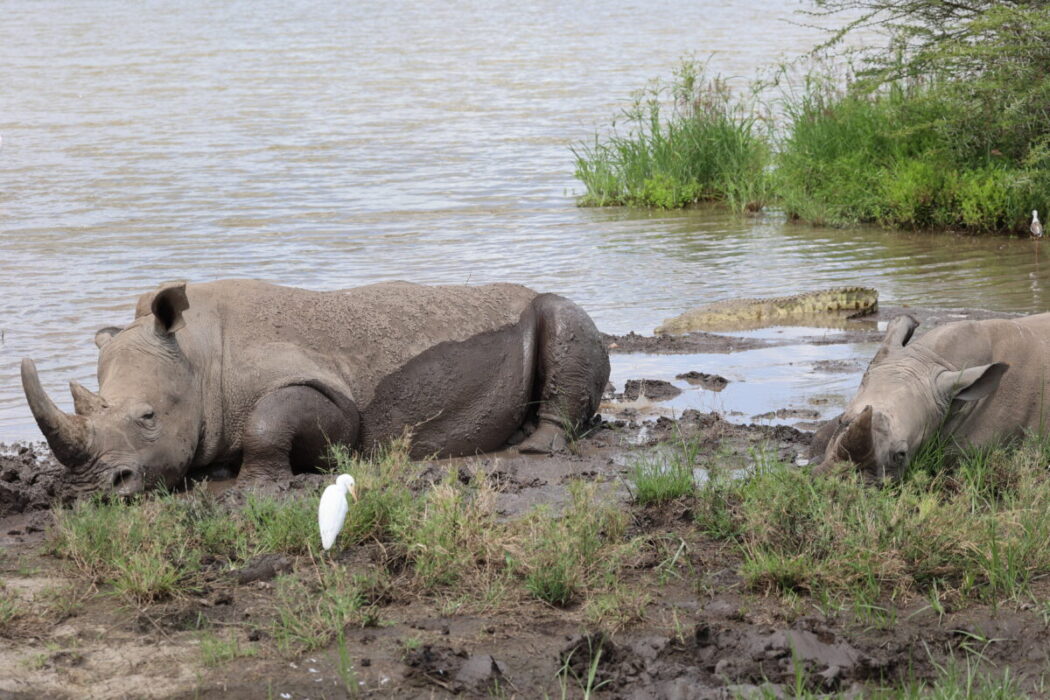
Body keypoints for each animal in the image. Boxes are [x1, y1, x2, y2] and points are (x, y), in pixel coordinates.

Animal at [21, 279, 610, 495]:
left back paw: (534, 446)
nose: (93, 488)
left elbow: (269, 419)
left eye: (147, 418)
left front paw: (252, 484)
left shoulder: (330, 396)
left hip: (552, 309)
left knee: (563, 318)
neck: (199, 355)